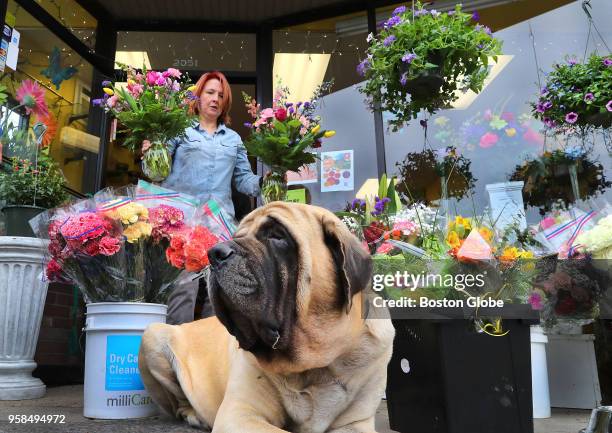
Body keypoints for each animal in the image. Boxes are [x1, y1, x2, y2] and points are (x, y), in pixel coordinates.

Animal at [139, 202, 394, 432]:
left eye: (277, 237)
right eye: (237, 236)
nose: (215, 253)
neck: (314, 365)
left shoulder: (356, 423)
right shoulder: (241, 414)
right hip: (153, 335)